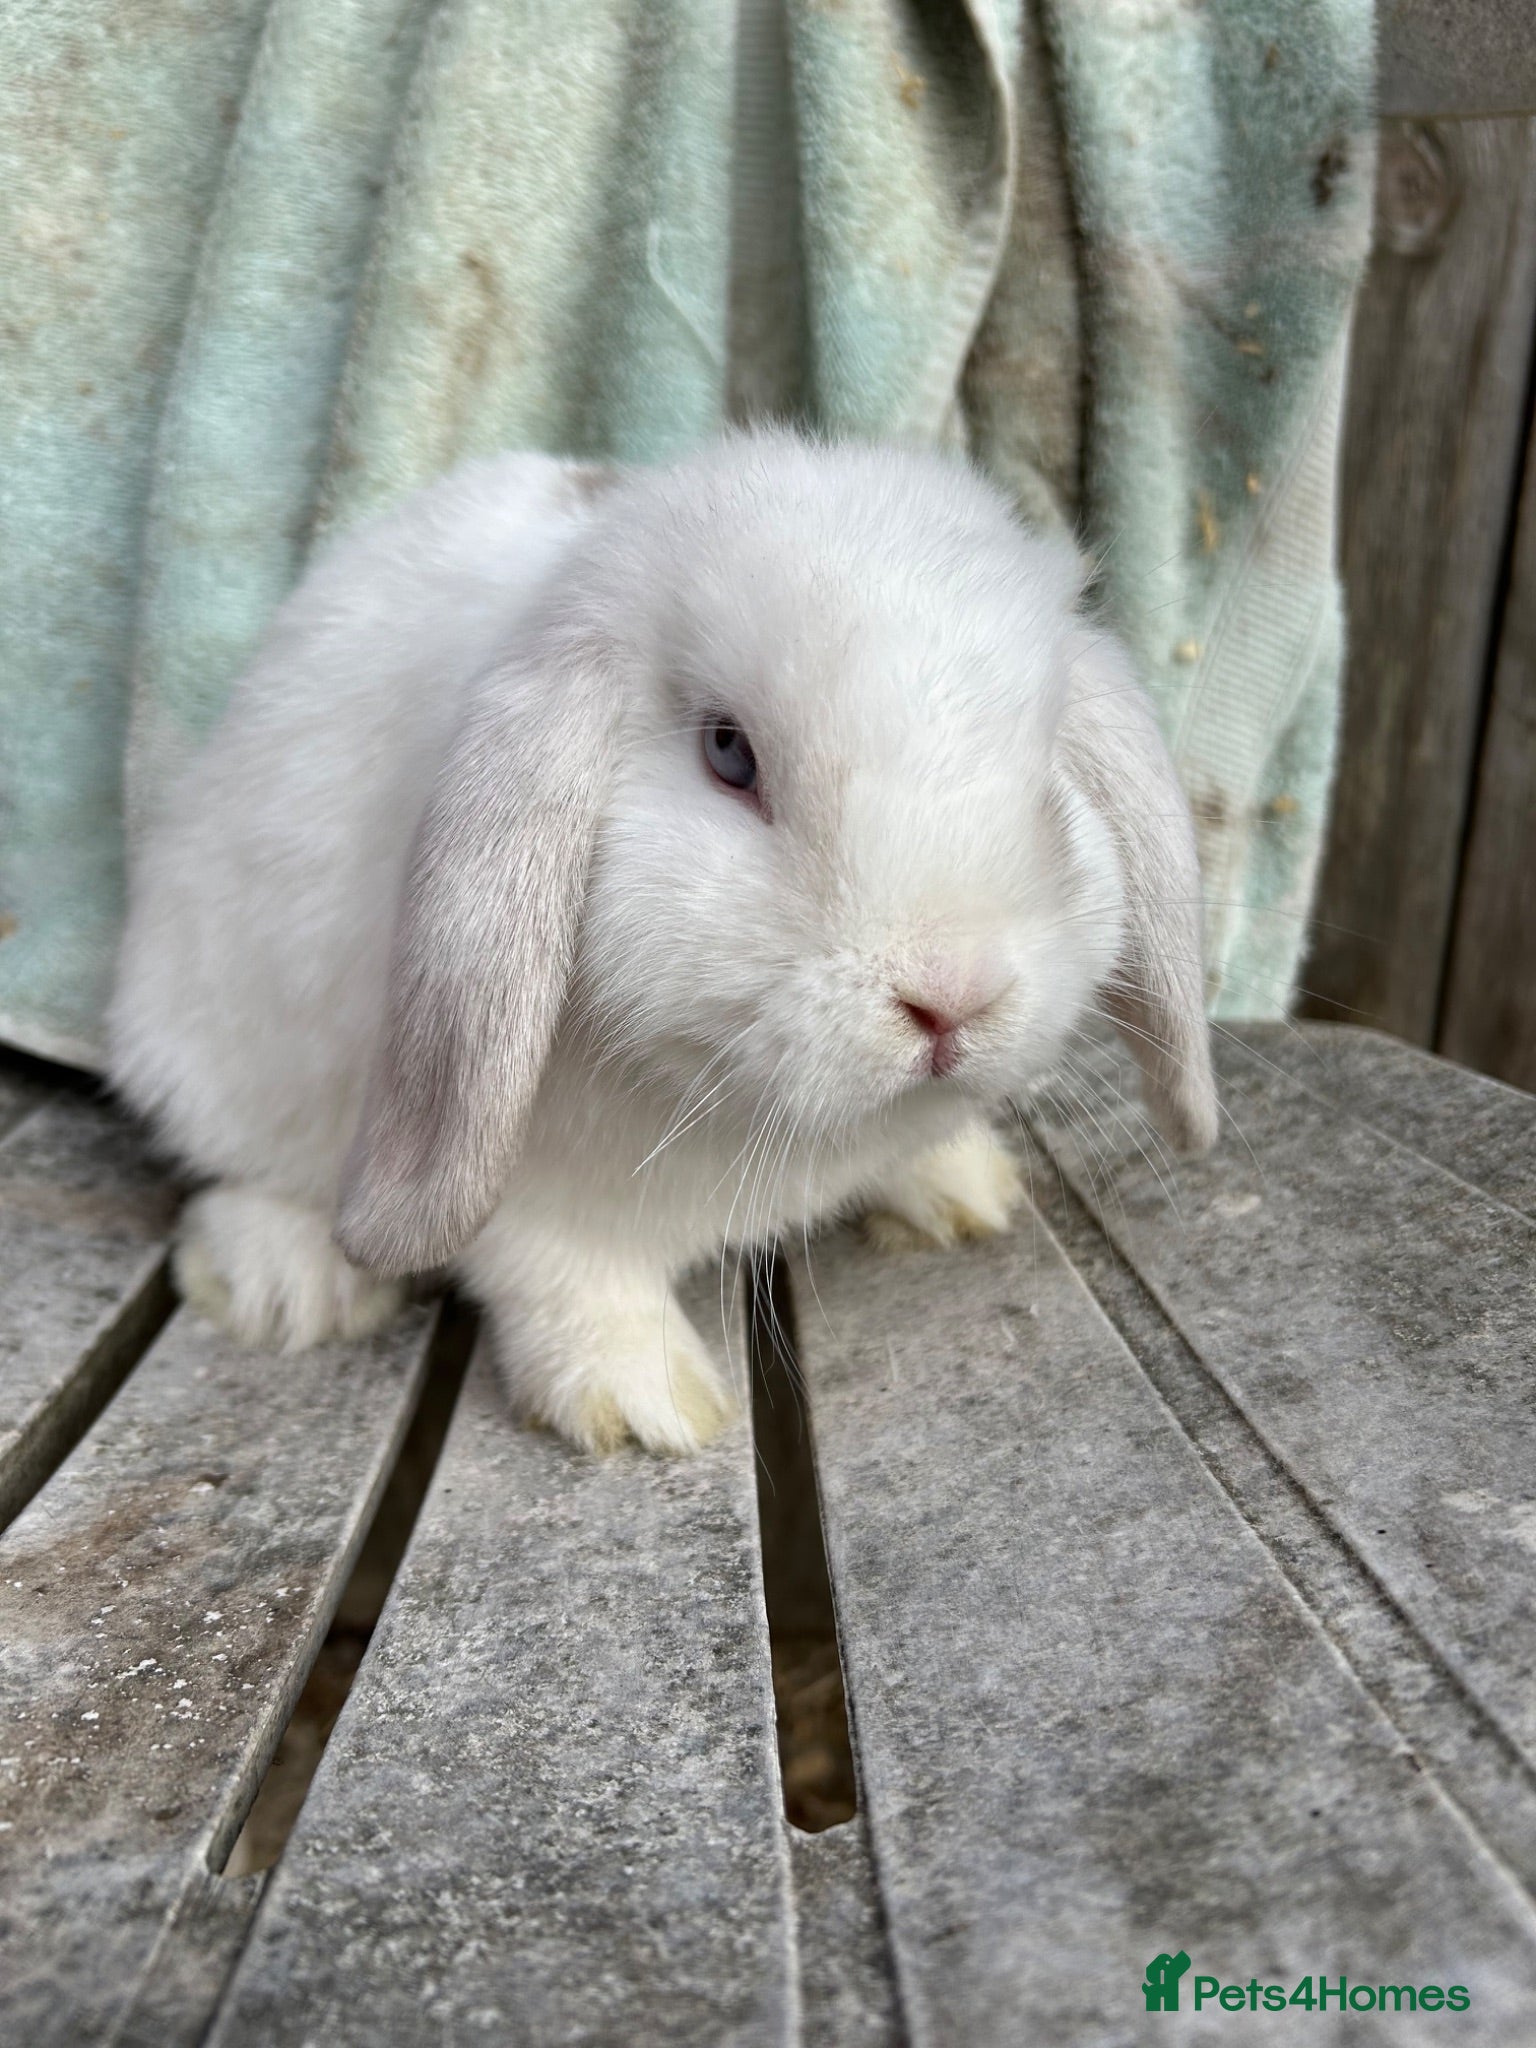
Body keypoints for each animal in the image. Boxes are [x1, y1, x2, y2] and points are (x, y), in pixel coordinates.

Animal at [109, 431, 1217, 1455]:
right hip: (213, 1043)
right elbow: (568, 1279)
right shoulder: (528, 1194)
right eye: (728, 754)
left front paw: (961, 1185)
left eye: (1046, 780)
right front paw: (645, 1402)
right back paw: (290, 1287)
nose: (955, 994)